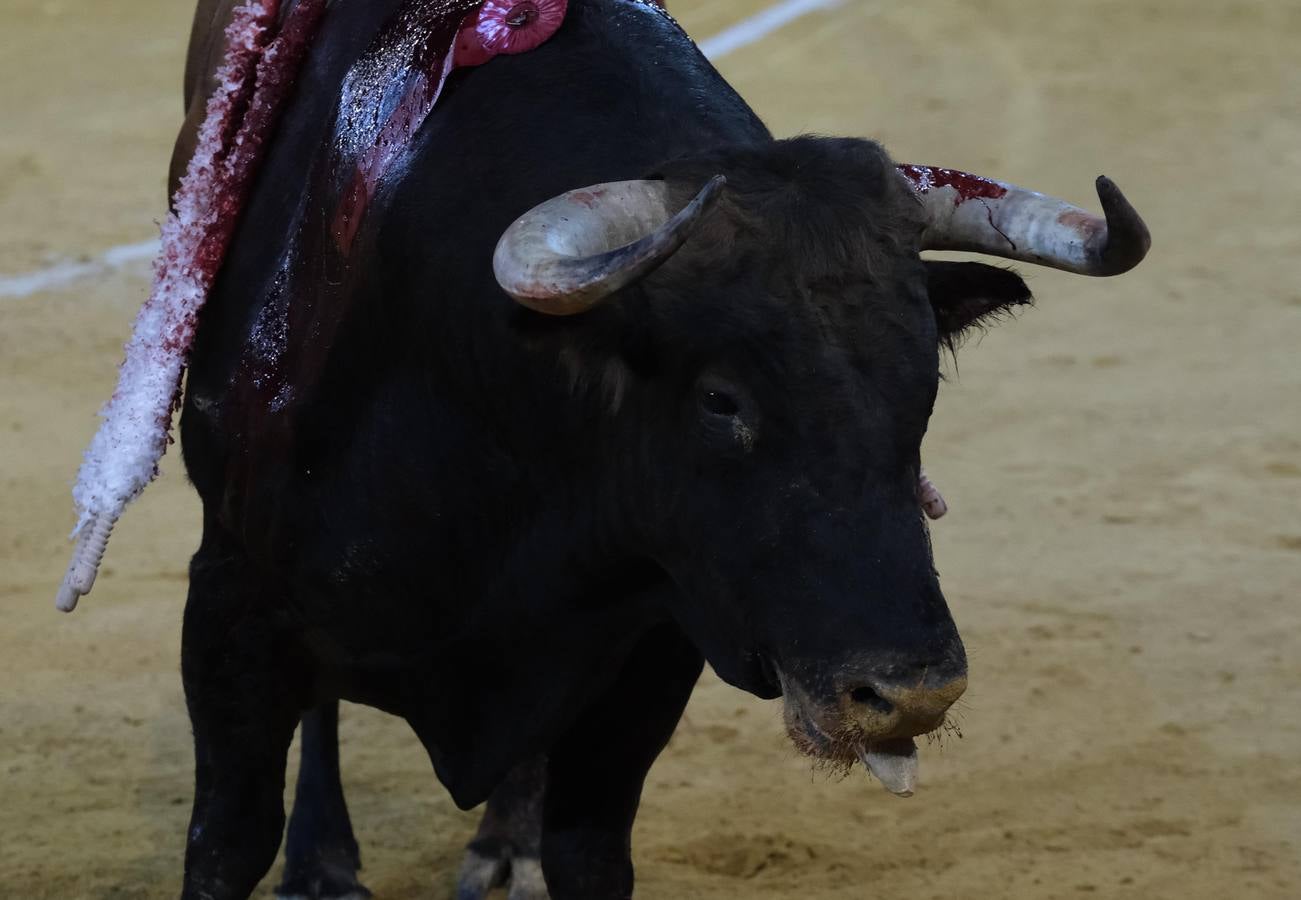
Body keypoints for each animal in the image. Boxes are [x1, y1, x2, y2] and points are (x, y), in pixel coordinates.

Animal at [165, 0, 1150, 894]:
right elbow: (227, 844)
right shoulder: (230, 608)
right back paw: (322, 861)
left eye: (923, 382)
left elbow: (588, 850)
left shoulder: (649, 646)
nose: (911, 697)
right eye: (719, 399)